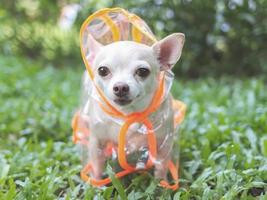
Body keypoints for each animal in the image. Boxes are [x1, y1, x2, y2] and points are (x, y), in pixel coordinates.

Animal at [80, 32, 185, 180]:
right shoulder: (96, 143)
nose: (120, 87)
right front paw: (94, 183)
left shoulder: (164, 144)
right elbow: (96, 167)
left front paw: (161, 184)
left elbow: (161, 168)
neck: (127, 114)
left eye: (142, 71)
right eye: (102, 71)